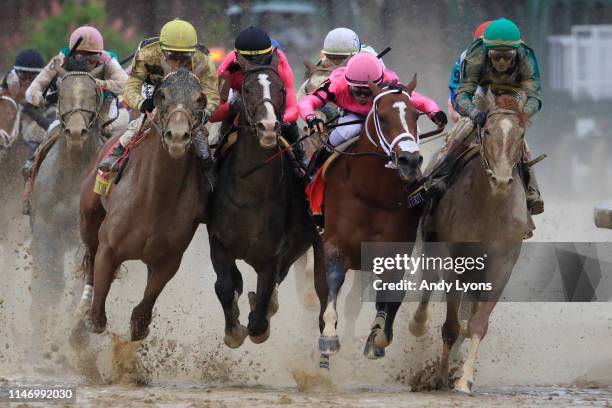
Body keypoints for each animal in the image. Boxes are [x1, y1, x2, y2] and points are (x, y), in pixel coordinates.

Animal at [77, 67, 210, 342]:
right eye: (162, 95)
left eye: (199, 100)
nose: (178, 137)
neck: (154, 200)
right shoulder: (108, 247)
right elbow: (97, 317)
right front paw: (89, 318)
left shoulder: (168, 260)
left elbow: (141, 315)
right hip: (88, 217)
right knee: (90, 255)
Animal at [209, 51, 316, 348]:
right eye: (246, 89)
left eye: (281, 90)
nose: (268, 127)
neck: (250, 192)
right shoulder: (219, 240)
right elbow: (225, 285)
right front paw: (233, 331)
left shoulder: (274, 253)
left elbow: (262, 307)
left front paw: (259, 319)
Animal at [314, 78, 428, 368]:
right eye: (383, 118)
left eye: (416, 115)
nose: (410, 160)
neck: (370, 193)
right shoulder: (334, 243)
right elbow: (332, 282)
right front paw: (329, 337)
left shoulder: (395, 250)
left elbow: (391, 297)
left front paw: (377, 337)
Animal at [408, 90, 532, 396]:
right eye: (487, 130)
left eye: (521, 134)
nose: (501, 179)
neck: (488, 205)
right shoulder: (453, 258)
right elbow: (451, 326)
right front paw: (440, 376)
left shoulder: (501, 266)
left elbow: (476, 325)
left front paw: (464, 379)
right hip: (429, 243)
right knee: (428, 285)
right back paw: (418, 324)